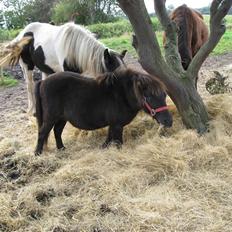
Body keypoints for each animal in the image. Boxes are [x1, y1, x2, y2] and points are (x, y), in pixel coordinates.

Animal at [34, 69, 172, 156]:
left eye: (164, 95)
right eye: (148, 97)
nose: (168, 121)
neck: (122, 95)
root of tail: (43, 82)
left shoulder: (113, 124)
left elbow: (109, 138)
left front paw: (103, 148)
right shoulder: (117, 125)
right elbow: (118, 142)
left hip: (62, 118)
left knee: (57, 131)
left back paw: (61, 149)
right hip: (51, 117)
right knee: (42, 132)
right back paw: (37, 154)